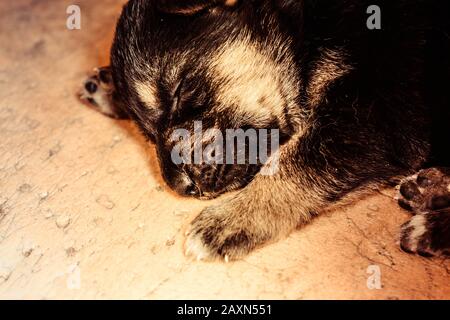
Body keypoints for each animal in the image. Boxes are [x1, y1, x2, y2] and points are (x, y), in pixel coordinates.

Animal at [80, 0, 450, 260]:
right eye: (146, 134)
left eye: (178, 91)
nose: (182, 187)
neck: (303, 27)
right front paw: (110, 87)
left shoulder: (382, 108)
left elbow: (296, 160)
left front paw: (231, 219)